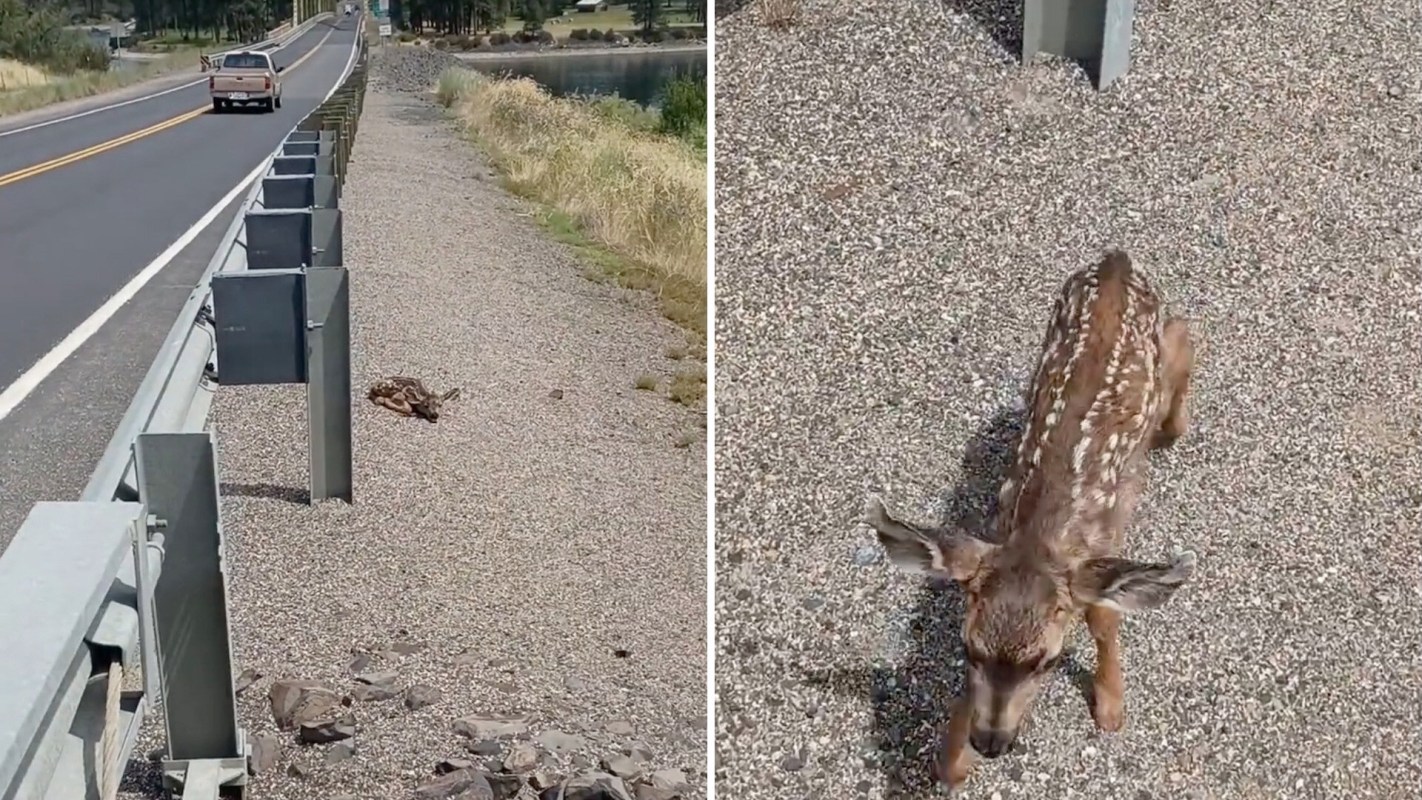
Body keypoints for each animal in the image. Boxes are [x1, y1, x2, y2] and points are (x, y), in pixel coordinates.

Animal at [863, 249, 1198, 790]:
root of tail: (1116, 260)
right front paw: (954, 760)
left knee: (1184, 334)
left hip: (1156, 341)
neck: (1042, 532)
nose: (991, 743)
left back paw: (1171, 427)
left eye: (1048, 661)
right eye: (969, 649)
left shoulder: (1106, 542)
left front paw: (1111, 707)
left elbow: (1105, 617)